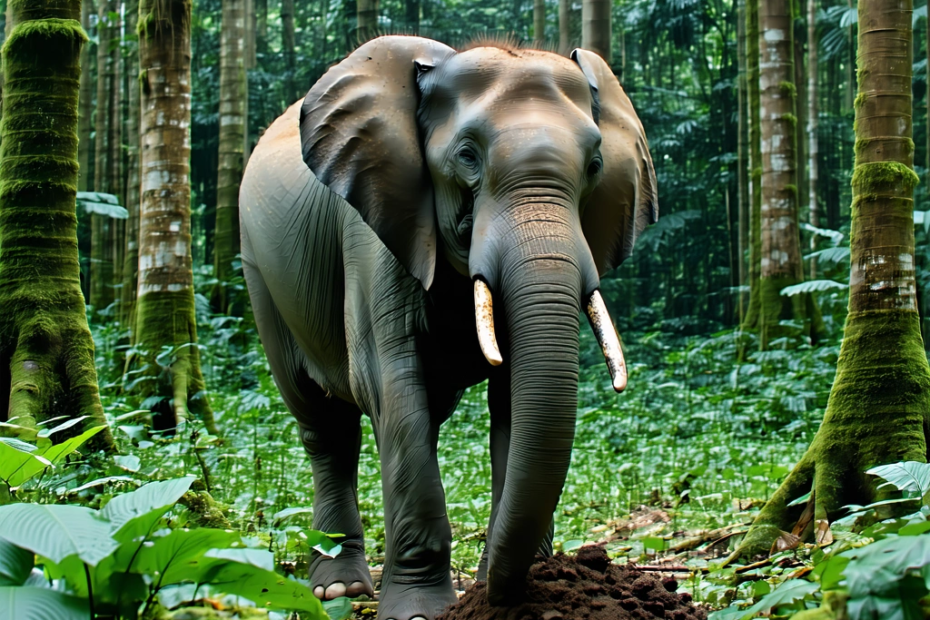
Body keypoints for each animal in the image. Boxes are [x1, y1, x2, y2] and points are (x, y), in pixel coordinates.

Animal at [239, 35, 656, 620]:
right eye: (467, 157)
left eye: (595, 164)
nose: (499, 594)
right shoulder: (375, 233)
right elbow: (388, 382)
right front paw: (419, 611)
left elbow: (513, 401)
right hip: (259, 271)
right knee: (326, 426)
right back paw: (338, 591)